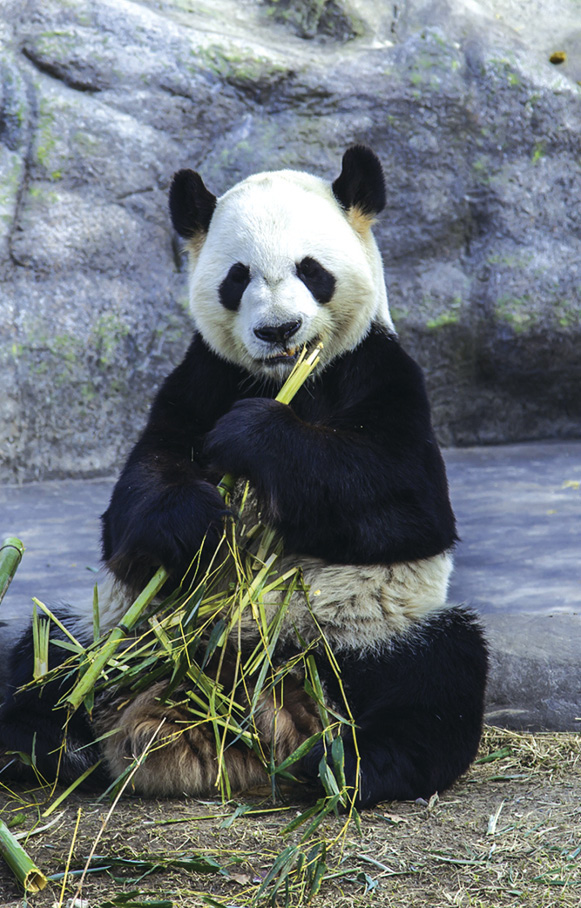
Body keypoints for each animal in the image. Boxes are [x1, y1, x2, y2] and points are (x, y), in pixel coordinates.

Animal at [0, 147, 484, 808]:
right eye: (237, 277)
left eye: (312, 270)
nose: (278, 330)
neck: (287, 378)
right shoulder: (200, 377)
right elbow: (134, 502)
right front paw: (197, 520)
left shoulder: (379, 369)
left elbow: (407, 502)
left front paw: (253, 435)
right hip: (117, 630)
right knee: (47, 650)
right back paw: (49, 741)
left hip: (363, 640)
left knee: (438, 673)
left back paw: (352, 764)